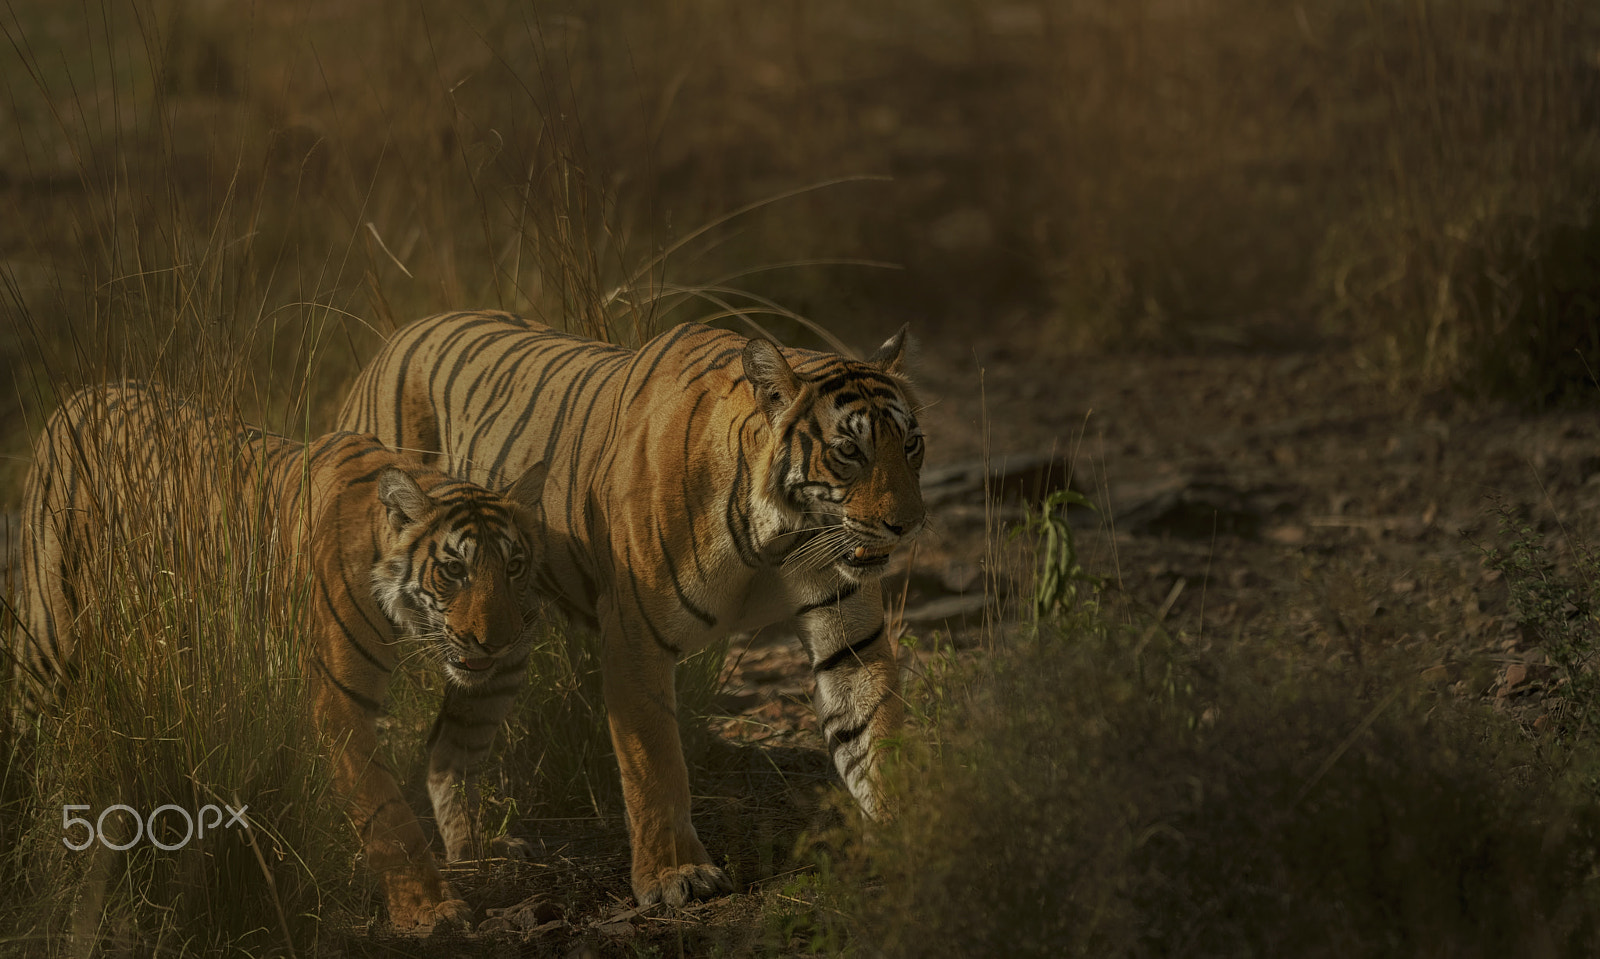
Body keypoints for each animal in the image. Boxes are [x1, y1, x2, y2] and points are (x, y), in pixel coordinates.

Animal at [12, 382, 553, 928]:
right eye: (455, 569)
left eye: (514, 565)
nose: (498, 641)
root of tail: (81, 394)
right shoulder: (338, 700)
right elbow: (387, 811)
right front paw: (427, 907)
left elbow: (448, 764)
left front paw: (470, 859)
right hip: (49, 629)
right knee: (25, 723)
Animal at [337, 313, 928, 909]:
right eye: (849, 451)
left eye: (912, 445)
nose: (908, 525)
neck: (778, 536)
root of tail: (390, 342)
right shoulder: (634, 639)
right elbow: (654, 765)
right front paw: (674, 875)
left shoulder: (851, 643)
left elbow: (874, 736)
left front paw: (910, 838)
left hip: (495, 645)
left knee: (447, 748)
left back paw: (478, 855)